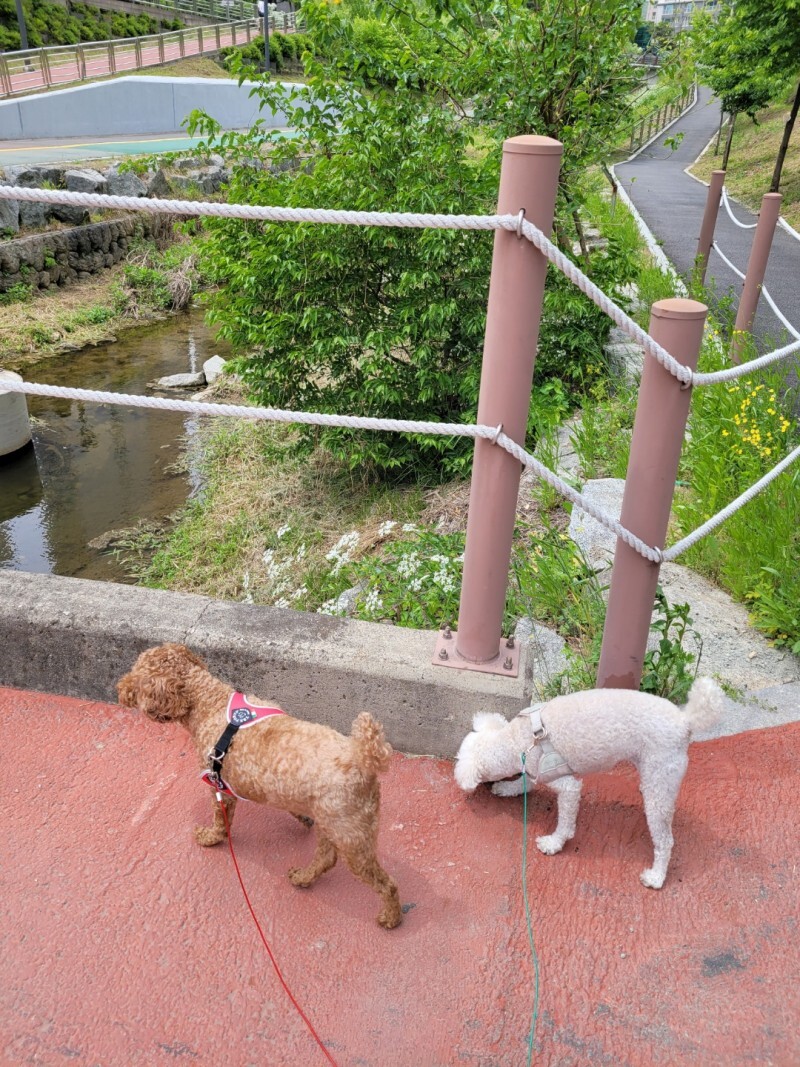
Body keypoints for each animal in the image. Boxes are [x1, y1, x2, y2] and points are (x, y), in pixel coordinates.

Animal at [117, 643, 402, 929]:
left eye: (137, 677)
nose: (119, 687)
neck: (207, 700)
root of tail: (363, 758)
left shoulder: (219, 786)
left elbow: (221, 822)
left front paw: (210, 838)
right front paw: (301, 817)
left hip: (351, 836)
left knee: (386, 884)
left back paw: (391, 917)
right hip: (332, 823)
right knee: (326, 858)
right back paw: (303, 877)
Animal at [454, 678, 725, 888]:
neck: (514, 740)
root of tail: (685, 719)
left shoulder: (567, 787)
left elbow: (565, 823)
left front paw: (554, 843)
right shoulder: (532, 770)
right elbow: (524, 784)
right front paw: (506, 788)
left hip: (661, 782)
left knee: (665, 841)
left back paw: (656, 878)